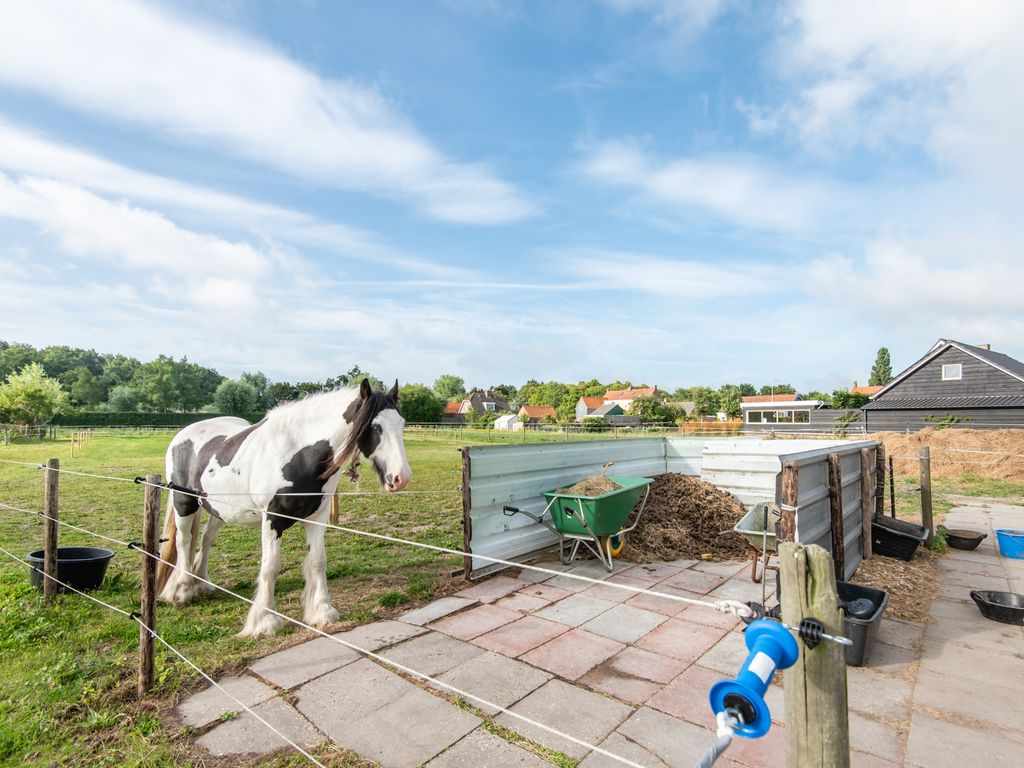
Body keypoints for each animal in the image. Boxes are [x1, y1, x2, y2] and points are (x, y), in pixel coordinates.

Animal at [153, 378, 409, 638]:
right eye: (376, 427)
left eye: (401, 423)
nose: (401, 478)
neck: (299, 454)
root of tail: (183, 434)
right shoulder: (272, 519)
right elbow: (270, 567)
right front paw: (265, 621)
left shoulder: (317, 518)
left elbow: (318, 561)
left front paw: (323, 612)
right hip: (183, 502)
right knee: (184, 541)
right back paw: (183, 590)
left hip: (218, 509)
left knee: (205, 539)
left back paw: (203, 583)